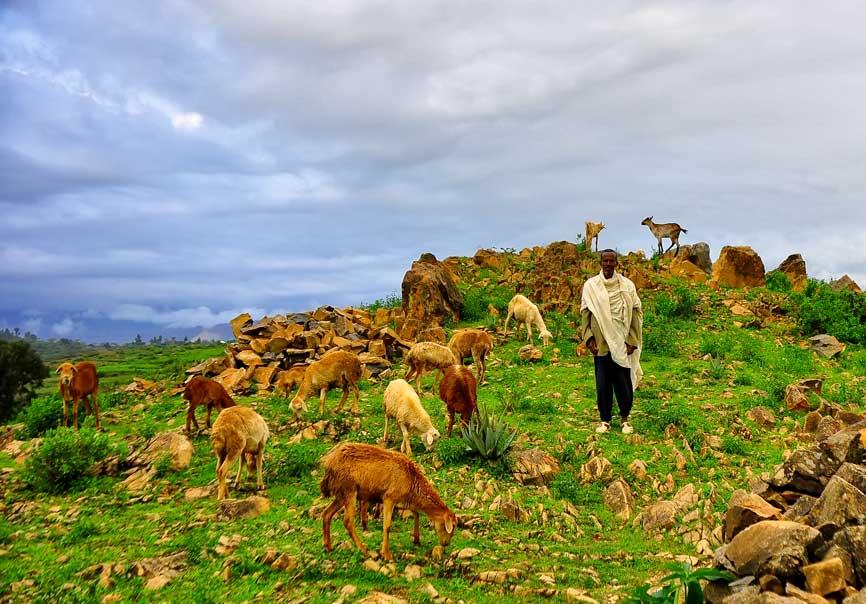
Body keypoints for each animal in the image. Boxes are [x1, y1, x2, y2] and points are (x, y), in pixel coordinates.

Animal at [318, 442, 456, 564]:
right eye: (452, 526)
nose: (446, 543)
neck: (412, 480)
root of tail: (328, 463)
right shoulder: (389, 498)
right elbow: (387, 526)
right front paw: (386, 554)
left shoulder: (406, 500)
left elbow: (416, 514)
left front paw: (417, 539)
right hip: (349, 490)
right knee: (348, 522)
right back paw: (363, 550)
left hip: (340, 494)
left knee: (326, 514)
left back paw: (328, 546)